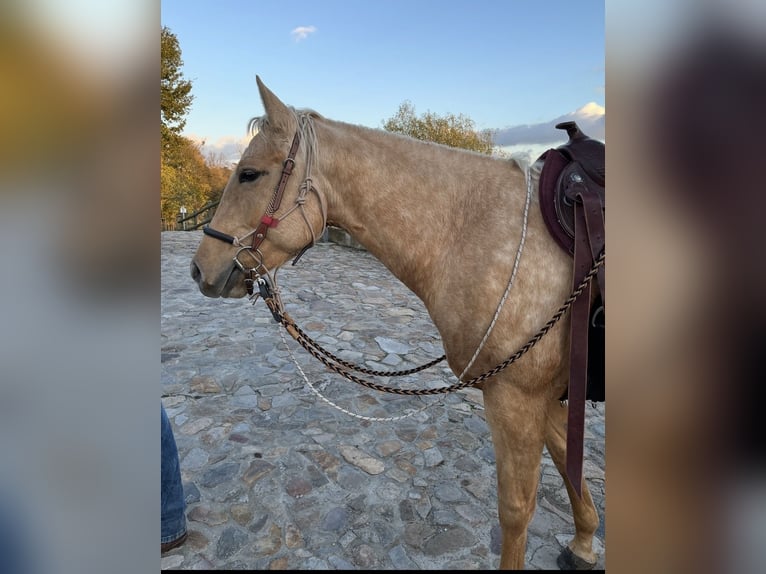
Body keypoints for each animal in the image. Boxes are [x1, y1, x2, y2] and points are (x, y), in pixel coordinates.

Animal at [190, 77, 601, 570]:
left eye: (249, 174)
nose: (199, 269)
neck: (479, 232)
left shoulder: (515, 398)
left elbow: (517, 509)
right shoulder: (548, 396)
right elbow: (570, 466)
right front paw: (584, 543)